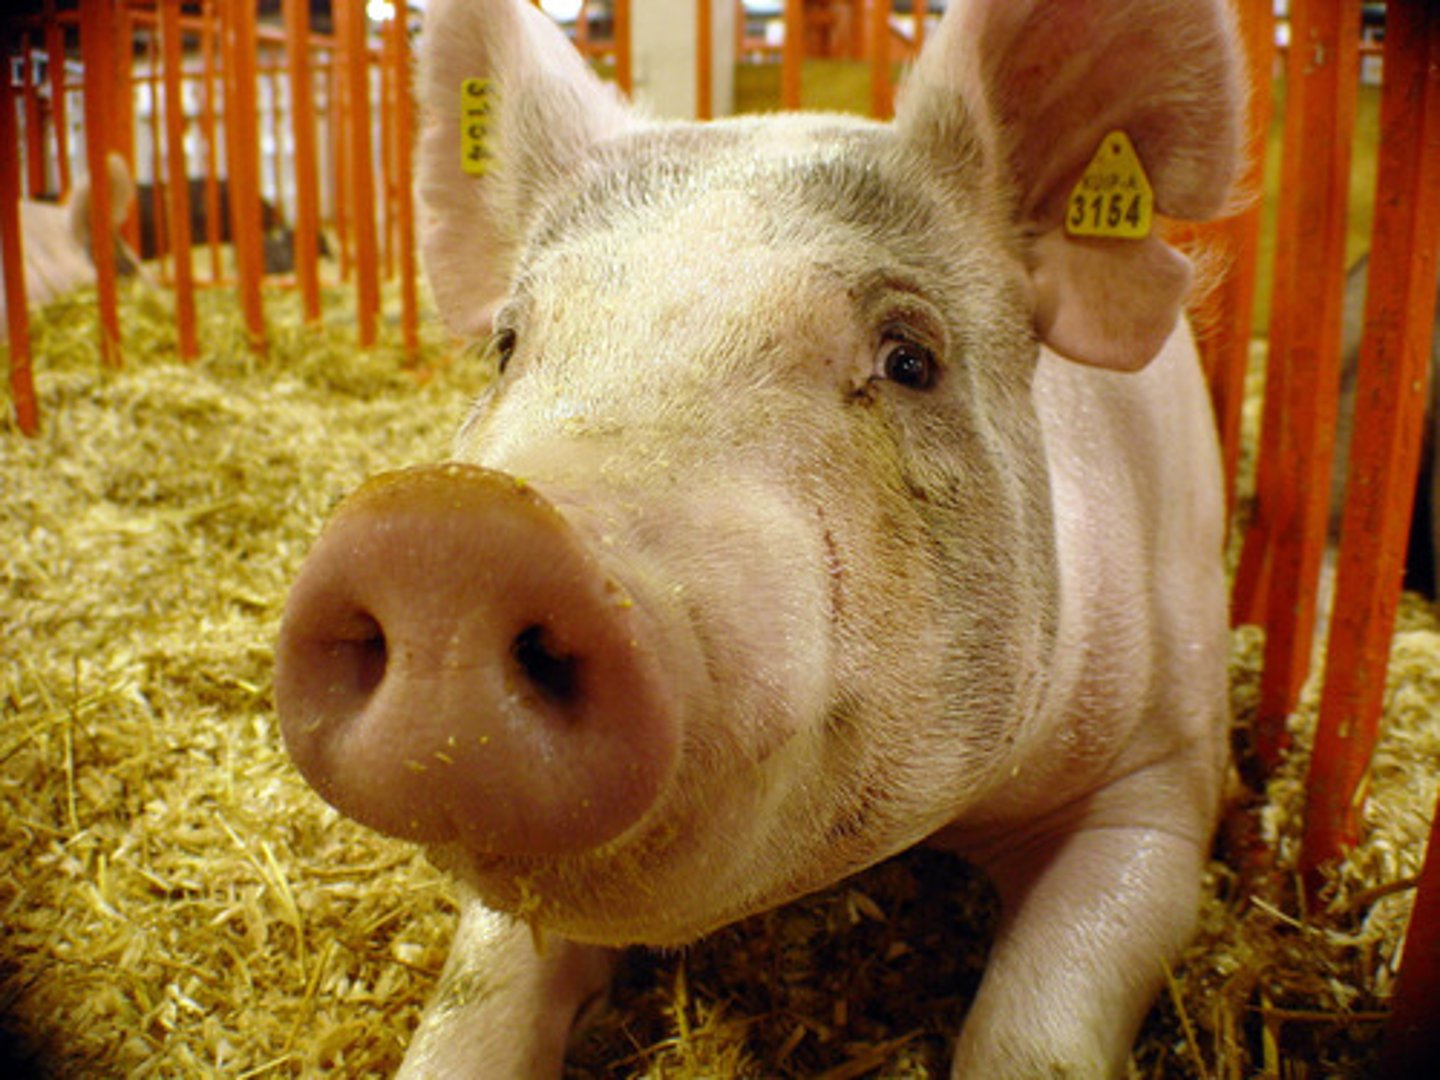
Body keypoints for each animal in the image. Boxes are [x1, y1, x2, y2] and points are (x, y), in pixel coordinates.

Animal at [273, 0, 1242, 1075]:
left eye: (911, 360)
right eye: (508, 345)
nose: (450, 537)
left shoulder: (1163, 768)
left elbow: (1042, 1023)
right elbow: (480, 988)